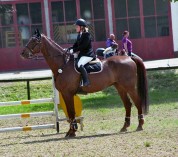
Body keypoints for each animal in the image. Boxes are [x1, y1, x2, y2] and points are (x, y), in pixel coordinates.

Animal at [20, 29, 149, 137]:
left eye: (34, 41)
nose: (23, 53)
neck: (63, 65)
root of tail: (129, 58)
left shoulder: (68, 93)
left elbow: (71, 112)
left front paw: (72, 132)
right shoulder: (66, 94)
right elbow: (70, 113)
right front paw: (71, 131)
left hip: (129, 87)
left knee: (137, 102)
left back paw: (140, 125)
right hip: (120, 87)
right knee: (128, 104)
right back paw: (124, 127)